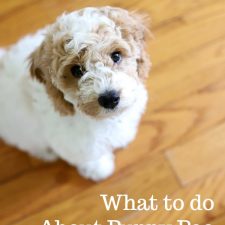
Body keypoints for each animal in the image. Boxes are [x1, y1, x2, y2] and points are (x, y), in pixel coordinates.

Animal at [0, 6, 151, 181]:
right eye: (76, 70)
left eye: (116, 56)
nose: (109, 98)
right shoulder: (75, 145)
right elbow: (89, 158)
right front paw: (100, 169)